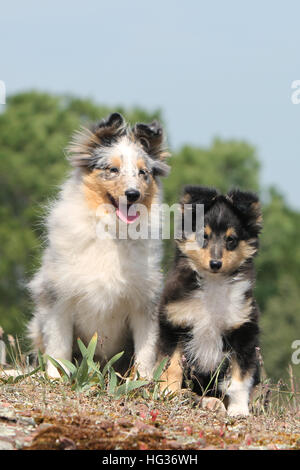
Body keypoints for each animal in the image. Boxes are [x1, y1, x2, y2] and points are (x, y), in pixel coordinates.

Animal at [27, 113, 171, 378]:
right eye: (112, 169)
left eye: (143, 172)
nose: (133, 194)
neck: (110, 231)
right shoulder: (58, 298)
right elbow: (58, 350)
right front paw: (56, 378)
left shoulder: (145, 303)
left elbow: (145, 351)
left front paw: (144, 381)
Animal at [157, 185, 262, 416]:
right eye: (203, 237)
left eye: (231, 240)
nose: (215, 263)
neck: (213, 282)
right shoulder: (175, 323)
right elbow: (172, 365)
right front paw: (167, 392)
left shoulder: (243, 330)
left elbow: (239, 377)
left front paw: (239, 410)